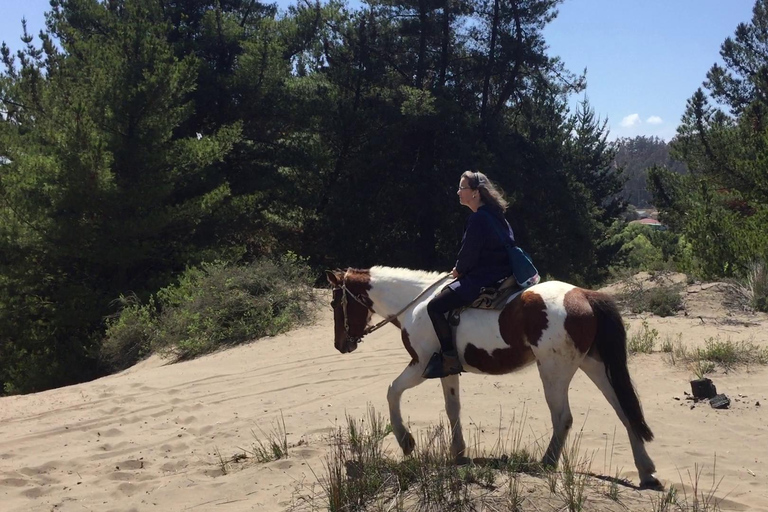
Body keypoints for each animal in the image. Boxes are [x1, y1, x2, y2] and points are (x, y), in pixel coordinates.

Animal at [324, 268, 660, 488]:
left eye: (335, 303)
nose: (340, 345)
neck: (417, 305)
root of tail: (586, 296)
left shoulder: (419, 366)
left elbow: (392, 391)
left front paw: (406, 441)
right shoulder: (446, 369)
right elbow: (452, 408)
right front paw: (459, 453)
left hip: (554, 370)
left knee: (563, 417)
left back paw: (547, 462)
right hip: (595, 366)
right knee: (626, 412)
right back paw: (646, 471)